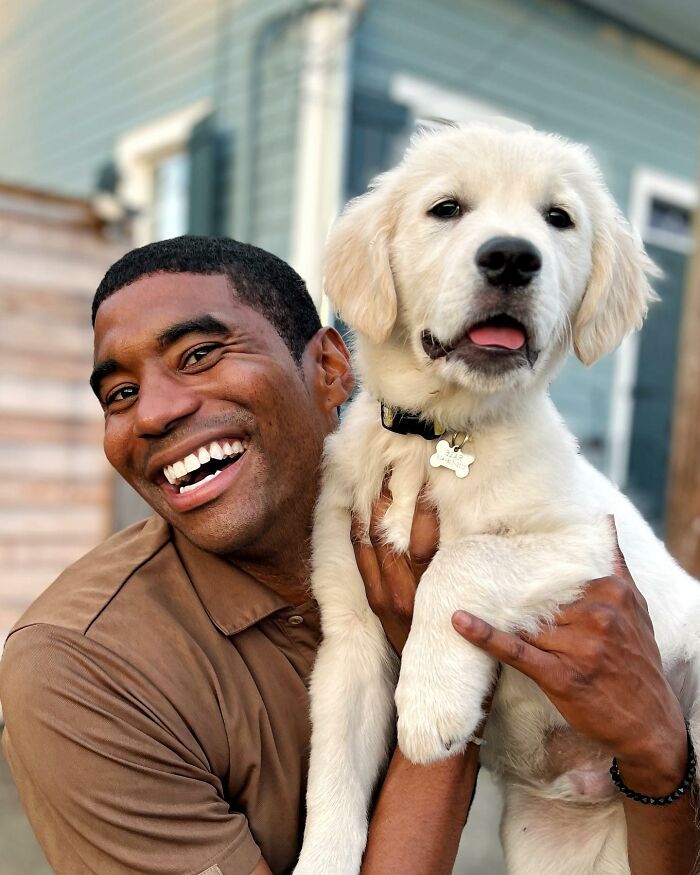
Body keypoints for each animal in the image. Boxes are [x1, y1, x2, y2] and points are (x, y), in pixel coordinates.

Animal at [292, 123, 700, 875]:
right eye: (446, 208)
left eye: (558, 218)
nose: (512, 258)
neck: (442, 437)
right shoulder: (350, 634)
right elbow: (333, 785)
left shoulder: (588, 540)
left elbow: (465, 561)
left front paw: (431, 706)